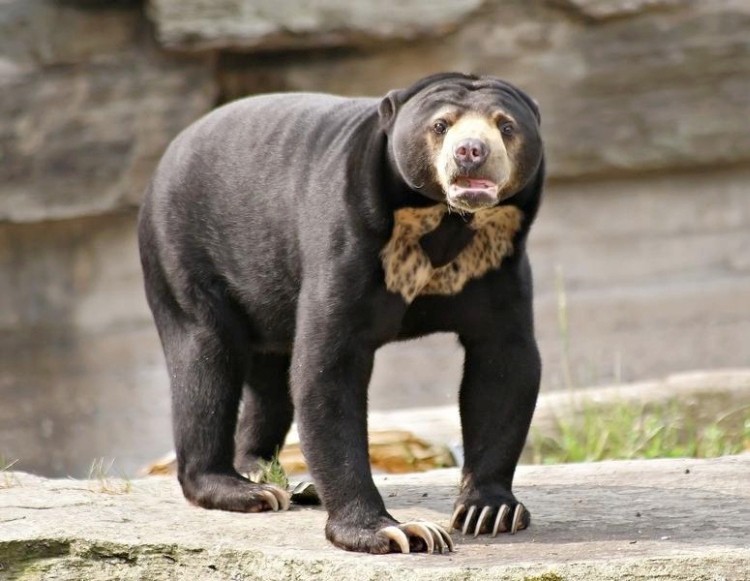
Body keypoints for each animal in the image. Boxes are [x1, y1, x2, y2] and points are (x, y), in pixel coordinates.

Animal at [137, 72, 548, 552]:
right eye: (441, 124)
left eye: (506, 125)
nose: (471, 152)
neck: (445, 220)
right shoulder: (349, 240)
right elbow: (328, 368)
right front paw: (393, 531)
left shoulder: (500, 262)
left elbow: (504, 365)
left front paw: (489, 511)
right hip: (183, 252)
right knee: (204, 362)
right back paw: (243, 489)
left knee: (270, 381)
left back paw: (277, 476)